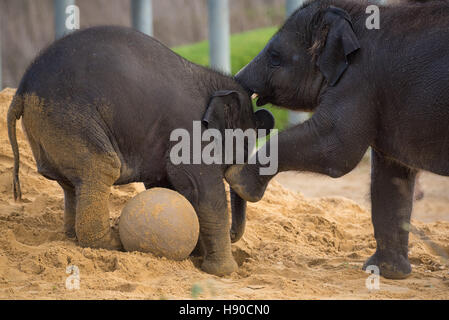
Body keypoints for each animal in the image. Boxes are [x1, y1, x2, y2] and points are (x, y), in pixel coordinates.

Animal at [7, 25, 272, 276]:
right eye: (245, 146)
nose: (233, 236)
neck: (212, 82)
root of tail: (21, 91)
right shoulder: (190, 133)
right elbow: (203, 190)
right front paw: (223, 272)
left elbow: (168, 185)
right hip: (69, 121)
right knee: (101, 168)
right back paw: (114, 243)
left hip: (52, 129)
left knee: (72, 185)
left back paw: (74, 237)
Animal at [226, 0, 448, 280]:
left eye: (274, 57)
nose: (232, 236)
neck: (354, 13)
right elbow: (390, 177)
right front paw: (386, 273)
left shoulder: (359, 80)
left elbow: (335, 147)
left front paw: (238, 179)